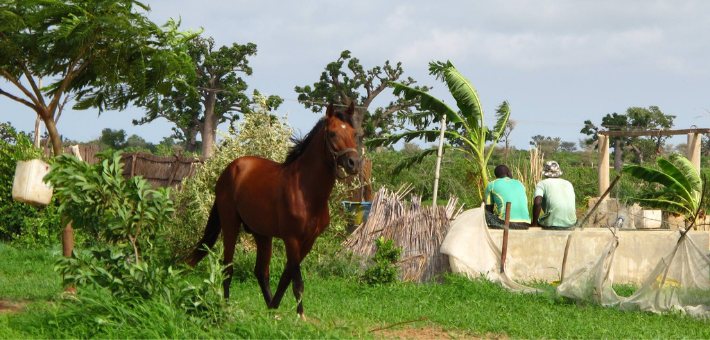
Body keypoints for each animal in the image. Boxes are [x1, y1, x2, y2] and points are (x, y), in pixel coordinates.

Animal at [185, 101, 362, 318]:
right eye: (333, 133)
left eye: (354, 133)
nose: (354, 163)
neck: (305, 190)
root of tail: (230, 169)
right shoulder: (292, 239)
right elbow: (297, 281)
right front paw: (300, 315)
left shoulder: (308, 241)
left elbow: (286, 277)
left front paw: (274, 309)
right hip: (230, 226)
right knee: (228, 268)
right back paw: (225, 307)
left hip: (262, 234)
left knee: (261, 272)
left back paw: (269, 308)